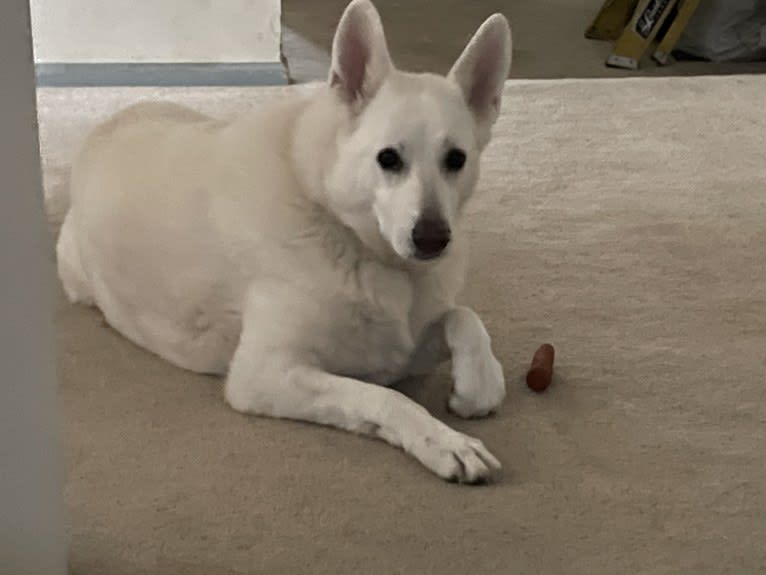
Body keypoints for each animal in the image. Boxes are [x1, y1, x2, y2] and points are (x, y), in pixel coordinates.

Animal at [58, 0, 516, 484]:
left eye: (456, 160)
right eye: (388, 158)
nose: (433, 239)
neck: (337, 223)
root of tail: (108, 123)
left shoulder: (401, 348)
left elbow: (463, 318)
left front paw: (479, 384)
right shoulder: (266, 374)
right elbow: (386, 398)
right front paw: (445, 441)